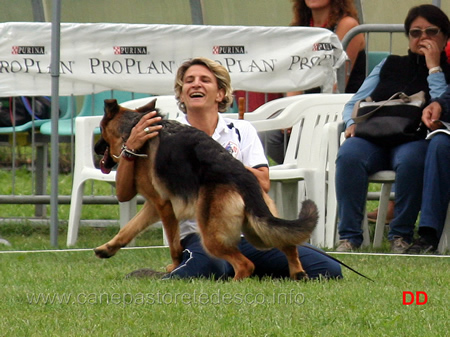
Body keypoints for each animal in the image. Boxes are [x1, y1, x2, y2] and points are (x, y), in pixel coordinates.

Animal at [93, 98, 318, 280]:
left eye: (101, 130)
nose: (95, 148)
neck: (133, 126)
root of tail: (243, 177)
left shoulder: (163, 206)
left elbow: (174, 246)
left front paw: (174, 267)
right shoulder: (154, 205)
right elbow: (128, 229)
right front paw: (107, 248)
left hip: (211, 236)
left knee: (245, 264)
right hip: (258, 231)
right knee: (287, 243)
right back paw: (297, 273)